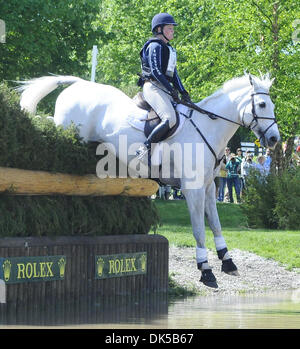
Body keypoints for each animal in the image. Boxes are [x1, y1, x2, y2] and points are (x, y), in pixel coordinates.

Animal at [19, 72, 280, 286]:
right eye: (262, 104)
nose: (275, 139)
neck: (206, 127)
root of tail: (79, 85)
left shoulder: (208, 188)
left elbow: (215, 224)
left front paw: (227, 261)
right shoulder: (192, 189)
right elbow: (199, 229)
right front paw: (205, 270)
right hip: (66, 131)